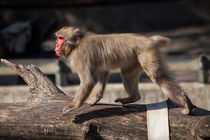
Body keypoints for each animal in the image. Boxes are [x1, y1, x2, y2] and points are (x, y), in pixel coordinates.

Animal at [55, 26, 194, 115]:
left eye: (61, 38)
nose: (56, 45)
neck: (77, 44)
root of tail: (150, 39)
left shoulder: (81, 56)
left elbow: (89, 80)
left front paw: (74, 105)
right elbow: (101, 75)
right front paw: (95, 99)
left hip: (147, 53)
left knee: (157, 76)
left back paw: (184, 101)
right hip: (134, 59)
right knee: (128, 75)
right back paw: (133, 97)